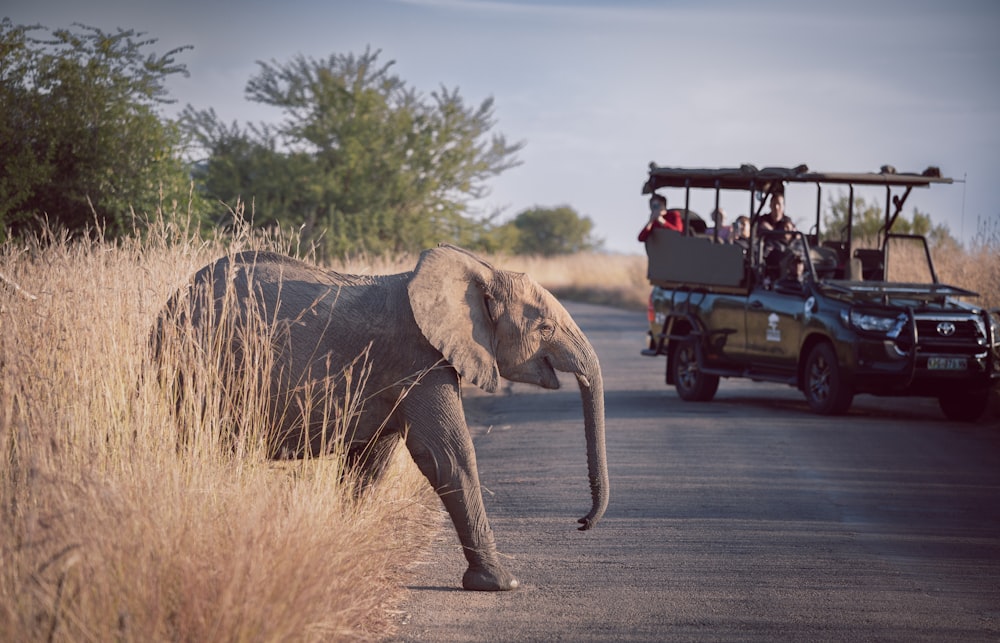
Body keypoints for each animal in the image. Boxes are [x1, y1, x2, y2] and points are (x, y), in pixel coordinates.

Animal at [155, 245, 608, 592]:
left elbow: (370, 461)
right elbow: (447, 455)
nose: (581, 523)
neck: (477, 271)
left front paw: (344, 547)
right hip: (199, 366)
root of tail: (169, 304)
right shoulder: (419, 358)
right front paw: (499, 584)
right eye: (545, 327)